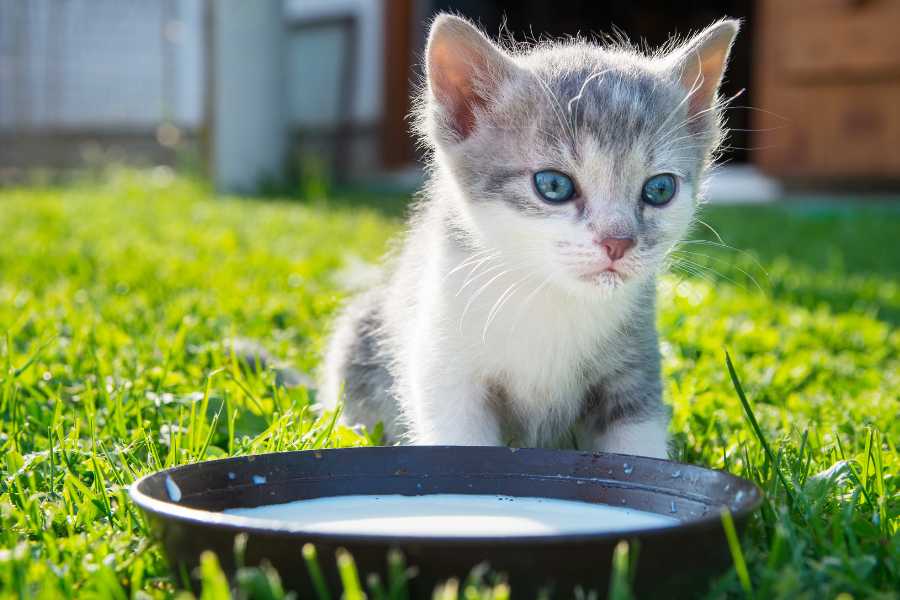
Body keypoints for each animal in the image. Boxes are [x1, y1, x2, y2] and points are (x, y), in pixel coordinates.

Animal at [322, 15, 740, 454]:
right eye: (553, 186)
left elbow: (638, 444)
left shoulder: (634, 367)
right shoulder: (446, 364)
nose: (618, 242)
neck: (548, 294)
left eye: (659, 189)